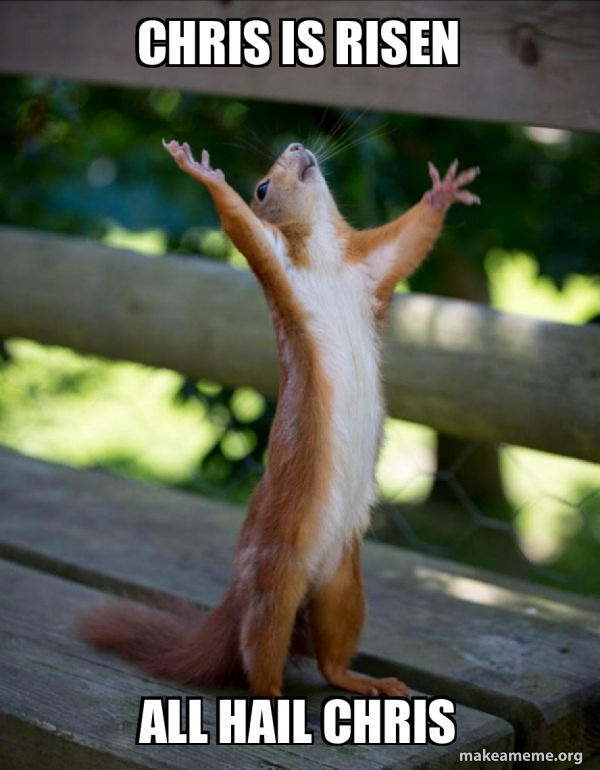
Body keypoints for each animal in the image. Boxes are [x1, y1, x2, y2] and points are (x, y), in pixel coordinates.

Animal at [78, 139, 479, 698]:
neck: (327, 259)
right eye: (262, 187)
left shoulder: (372, 267)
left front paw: (442, 193)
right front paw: (203, 173)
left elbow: (410, 239)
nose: (296, 146)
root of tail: (238, 595)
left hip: (344, 586)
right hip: (273, 583)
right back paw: (275, 697)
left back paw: (365, 680)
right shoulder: (277, 264)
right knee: (259, 658)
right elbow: (240, 226)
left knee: (331, 657)